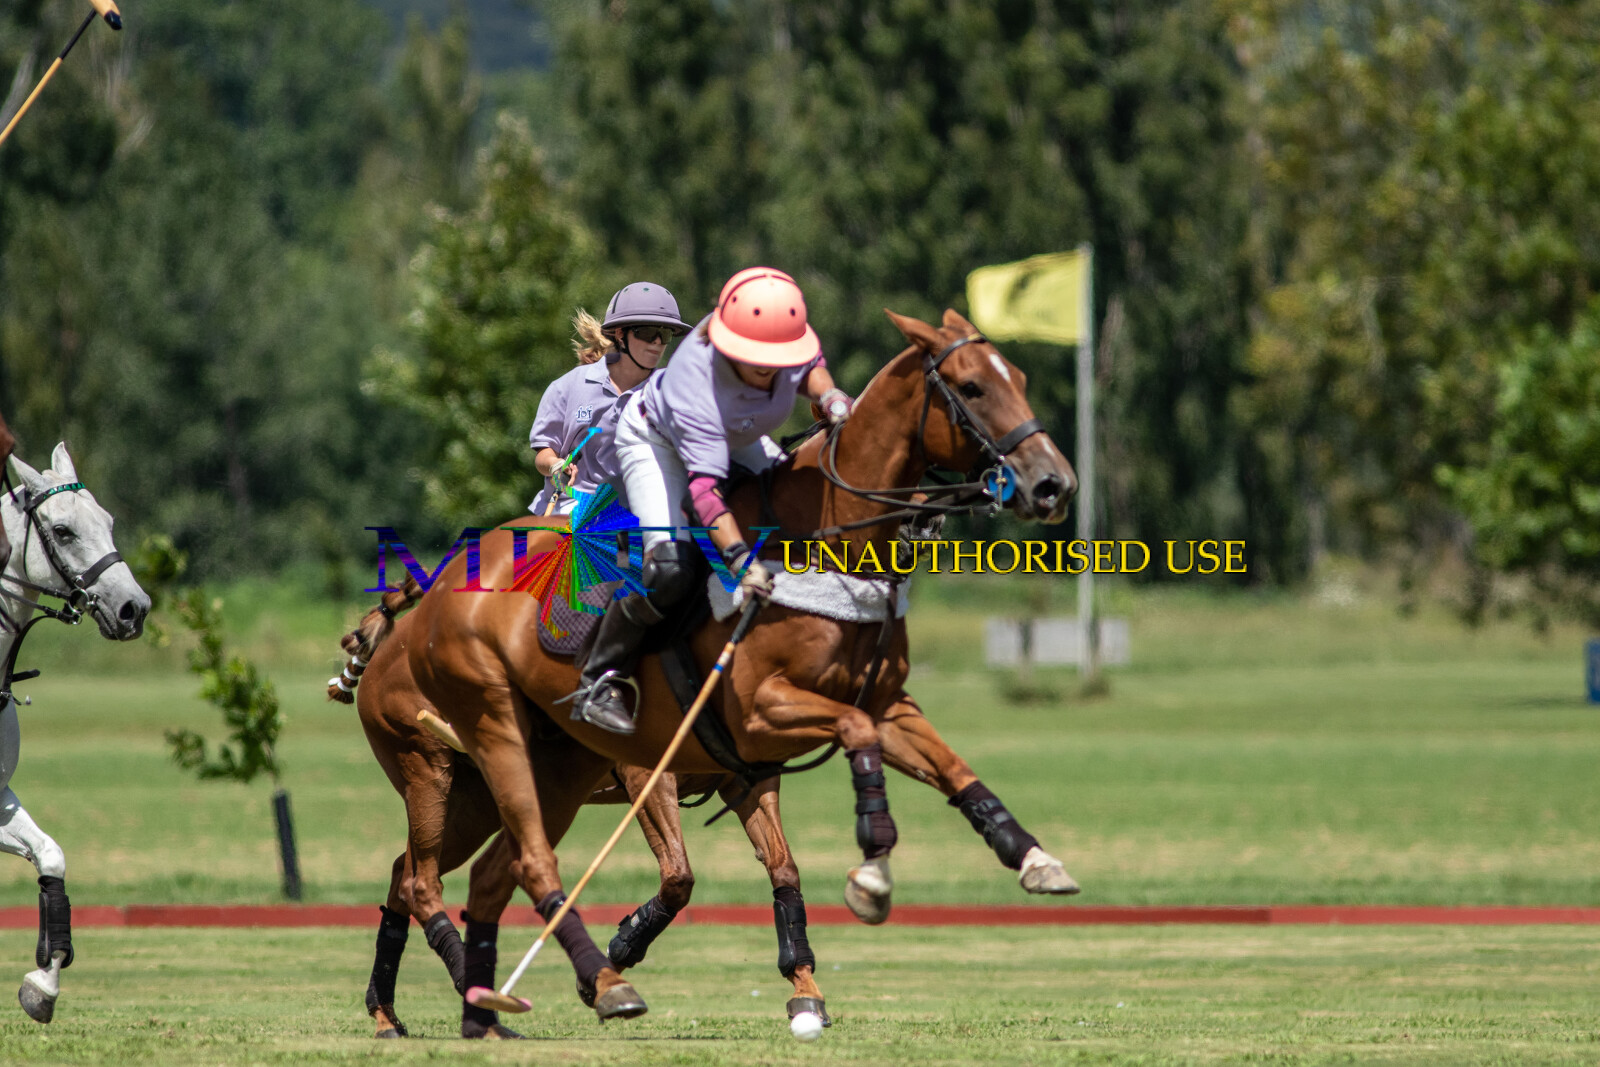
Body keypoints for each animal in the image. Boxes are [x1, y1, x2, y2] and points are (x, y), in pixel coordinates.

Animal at [340, 577, 814, 1038]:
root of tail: (390, 644)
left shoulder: (749, 781)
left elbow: (783, 868)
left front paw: (806, 991)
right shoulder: (646, 776)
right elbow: (678, 876)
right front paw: (614, 957)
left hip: (475, 806)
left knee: (405, 872)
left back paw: (387, 1014)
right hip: (426, 770)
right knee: (420, 881)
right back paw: (466, 985)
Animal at [401, 309, 1079, 1022]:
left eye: (1020, 378)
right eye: (972, 387)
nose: (1053, 483)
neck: (819, 538)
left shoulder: (814, 732)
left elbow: (938, 772)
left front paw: (1032, 858)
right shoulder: (738, 721)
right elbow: (686, 872)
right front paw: (871, 867)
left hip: (516, 782)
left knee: (450, 872)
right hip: (465, 754)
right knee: (438, 873)